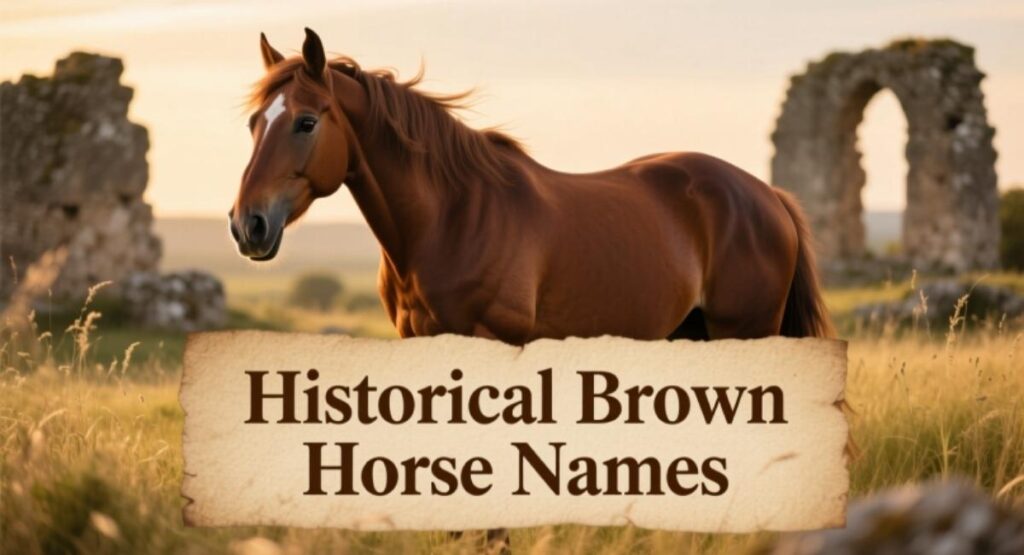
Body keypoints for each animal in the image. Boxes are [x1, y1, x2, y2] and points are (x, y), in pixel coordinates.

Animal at [230, 28, 834, 344]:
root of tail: (769, 197)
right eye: (255, 122)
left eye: (307, 122)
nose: (247, 225)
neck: (450, 220)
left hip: (745, 330)